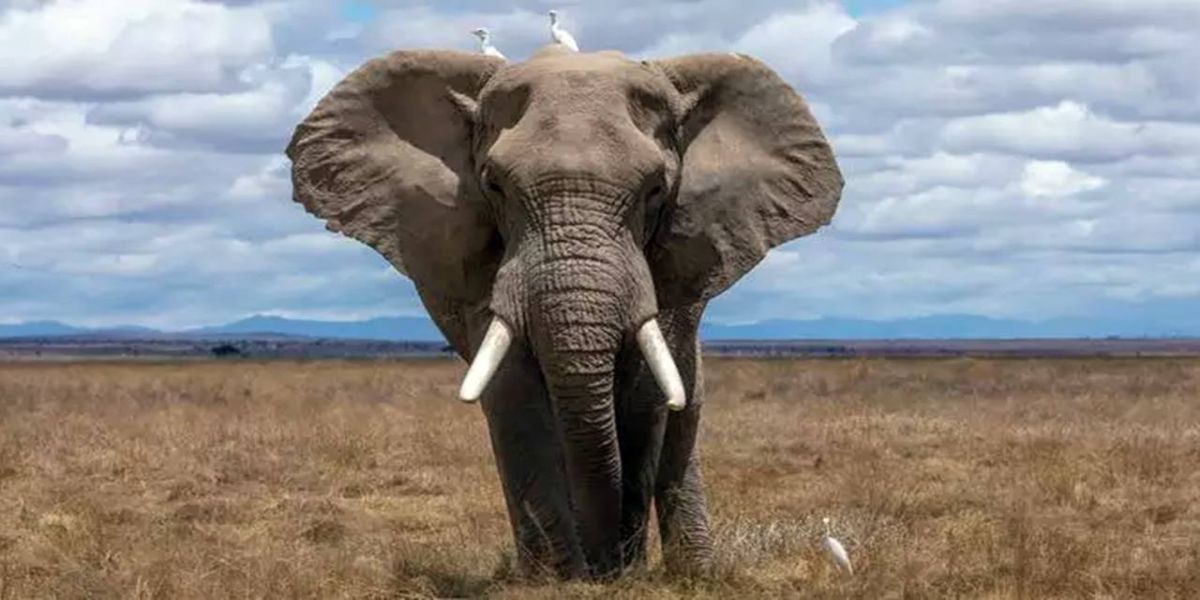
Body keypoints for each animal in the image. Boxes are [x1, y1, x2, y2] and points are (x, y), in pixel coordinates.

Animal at [285, 44, 843, 580]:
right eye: (494, 186)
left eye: (656, 190)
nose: (605, 565)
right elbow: (514, 391)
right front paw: (558, 577)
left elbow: (645, 395)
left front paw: (620, 573)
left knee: (685, 401)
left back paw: (695, 572)